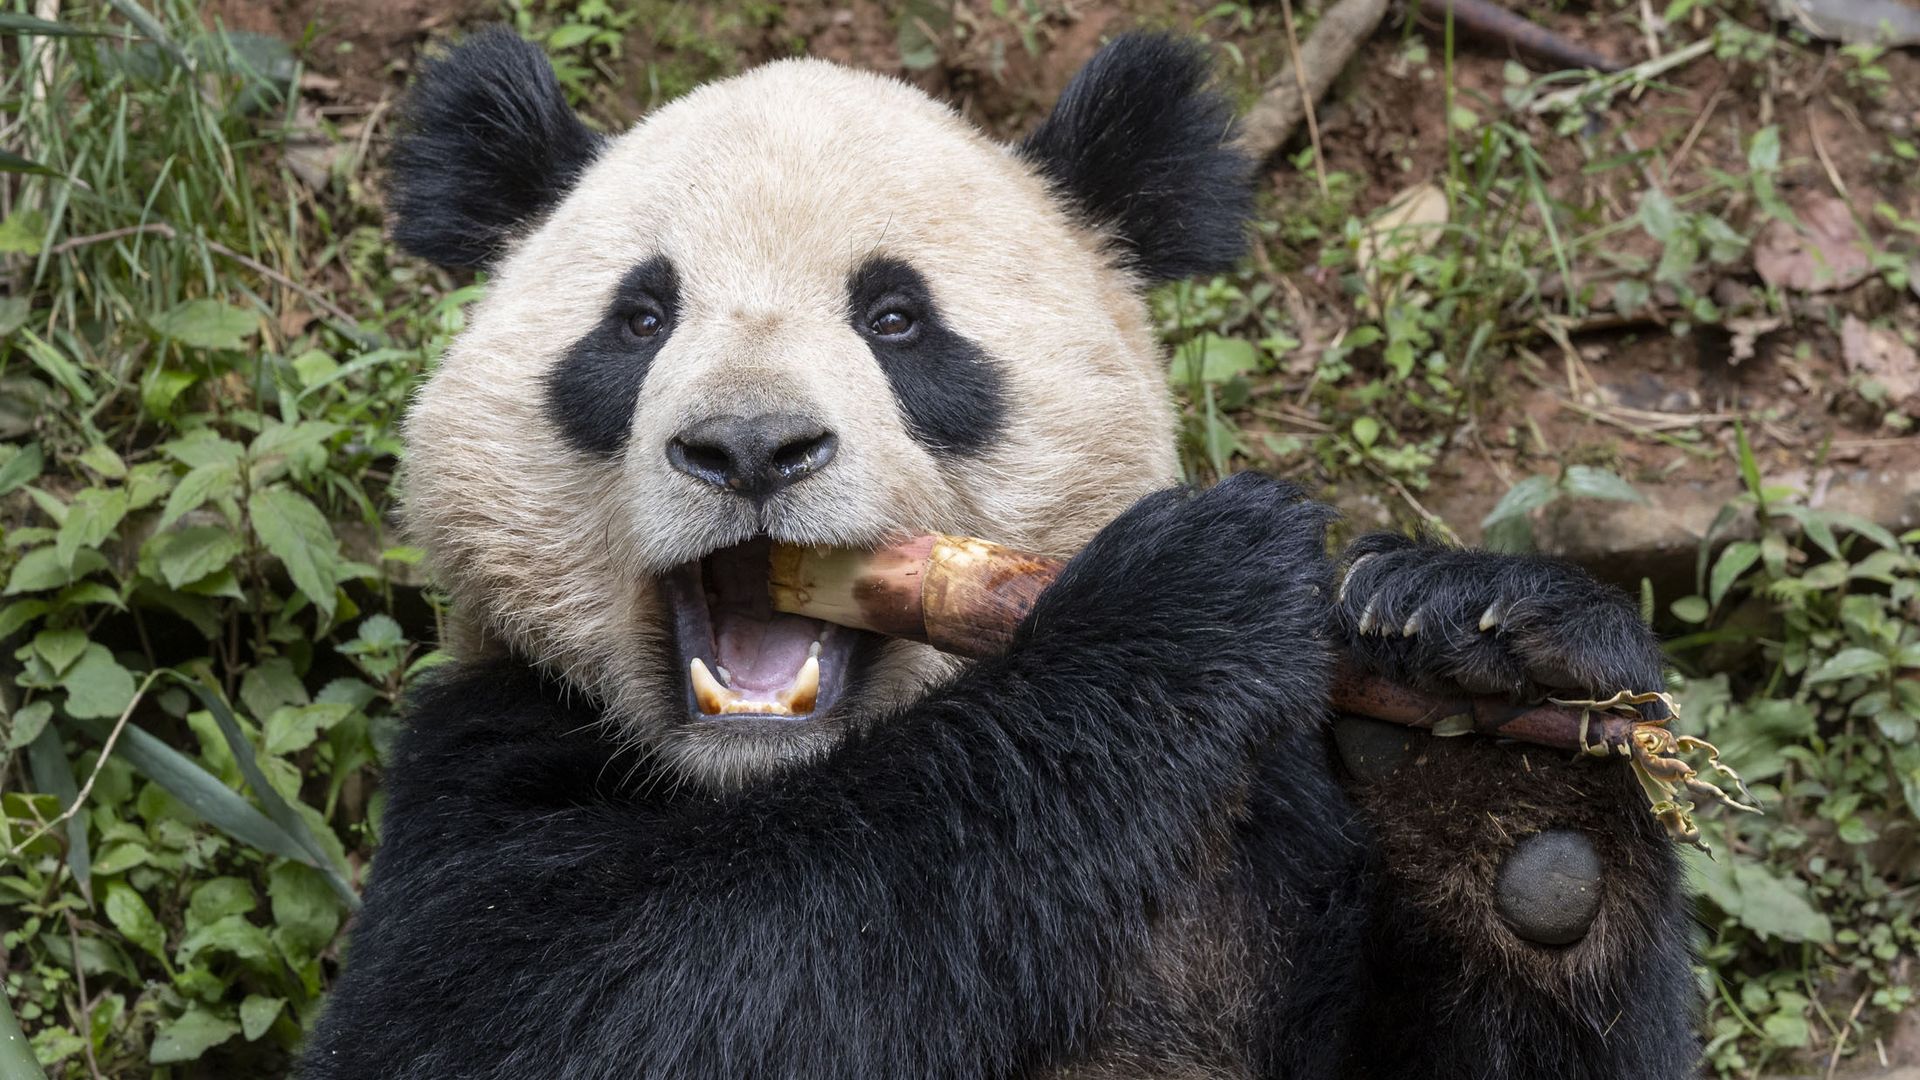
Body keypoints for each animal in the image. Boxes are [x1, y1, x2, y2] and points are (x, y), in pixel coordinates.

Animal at [300, 26, 1699, 1080]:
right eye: (639, 320)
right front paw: (1182, 602)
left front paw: (1491, 708)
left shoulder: (1273, 836)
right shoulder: (483, 760)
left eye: (898, 318)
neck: (770, 785)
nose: (749, 448)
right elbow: (598, 1007)